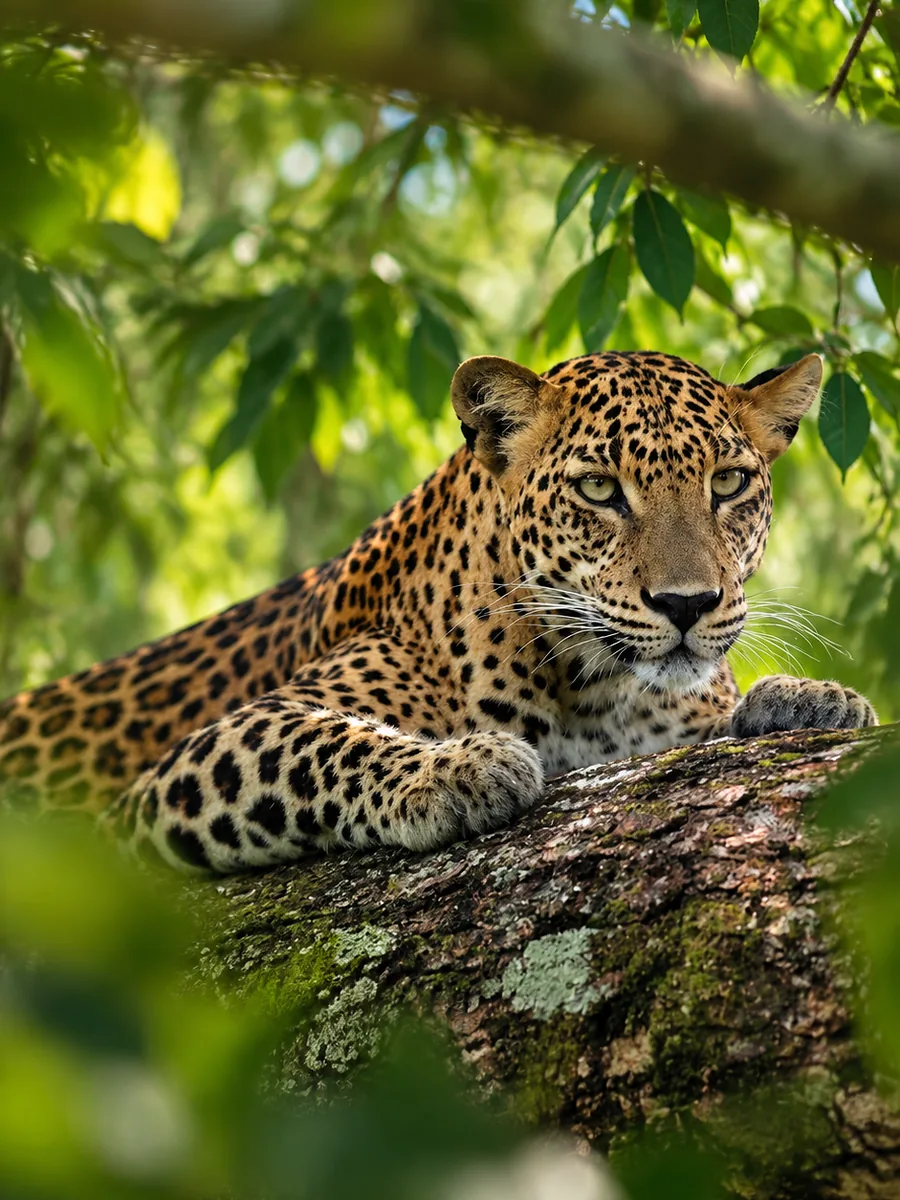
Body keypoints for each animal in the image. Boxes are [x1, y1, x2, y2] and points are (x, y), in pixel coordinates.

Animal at [0, 349, 877, 873]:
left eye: (728, 483)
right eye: (600, 489)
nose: (687, 604)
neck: (597, 690)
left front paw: (808, 699)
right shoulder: (183, 770)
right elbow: (317, 743)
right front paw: (456, 768)